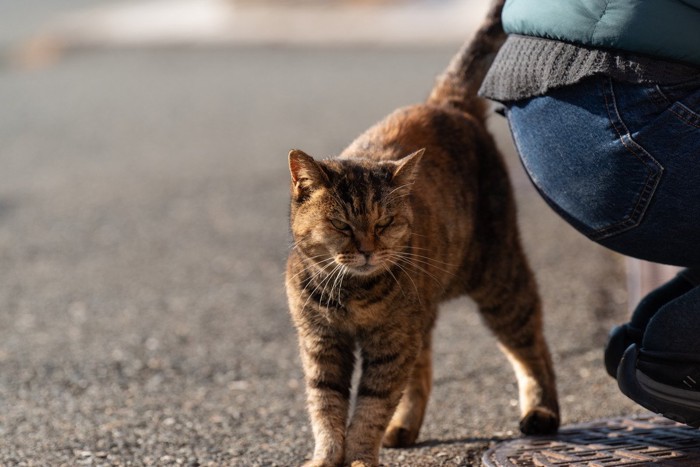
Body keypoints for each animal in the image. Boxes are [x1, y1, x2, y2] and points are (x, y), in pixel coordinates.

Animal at [284, 1, 556, 466]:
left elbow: (370, 406)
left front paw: (360, 456)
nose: (367, 250)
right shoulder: (322, 343)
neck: (351, 295)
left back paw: (543, 412)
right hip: (423, 315)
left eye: (384, 223)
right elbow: (326, 407)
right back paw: (404, 428)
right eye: (342, 225)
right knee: (423, 370)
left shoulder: (390, 344)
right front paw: (326, 456)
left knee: (532, 343)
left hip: (498, 282)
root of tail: (445, 103)